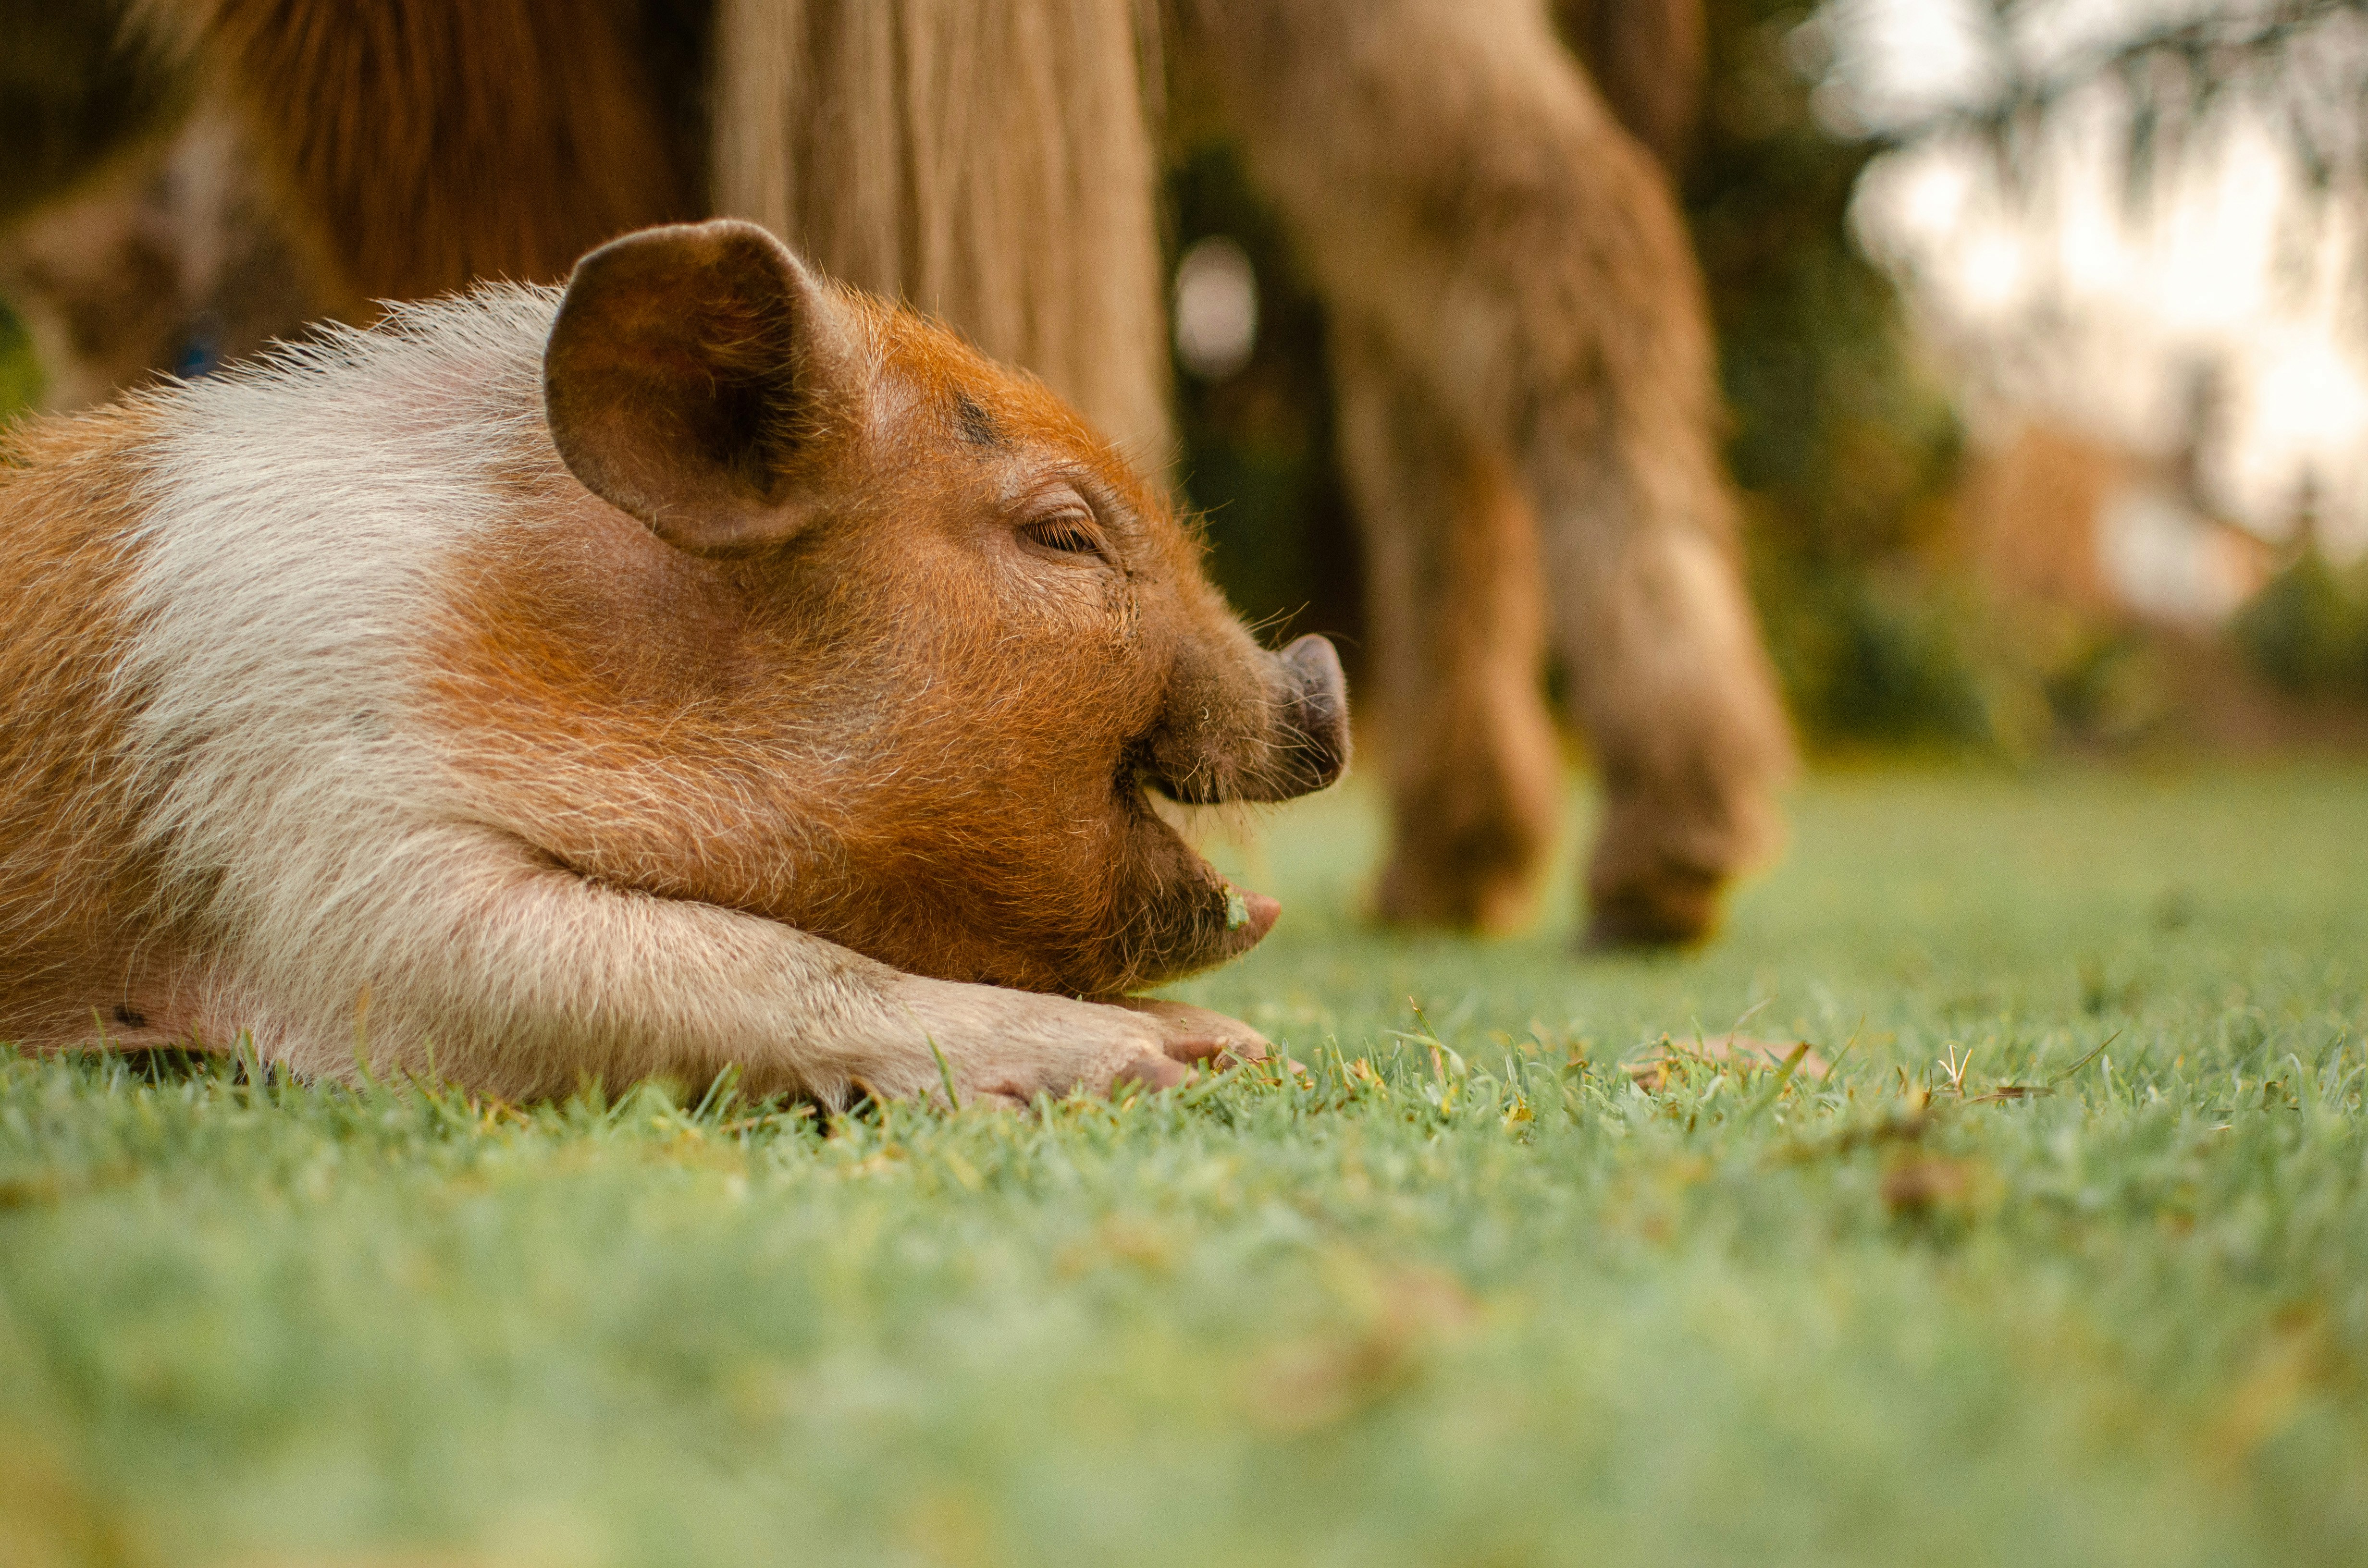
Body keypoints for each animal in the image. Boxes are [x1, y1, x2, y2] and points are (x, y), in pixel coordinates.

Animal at [0, 219, 1350, 1107]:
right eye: (1063, 535)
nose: (1322, 672)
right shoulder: (307, 829)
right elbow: (762, 961)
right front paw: (1185, 1056)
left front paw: (1240, 1046)